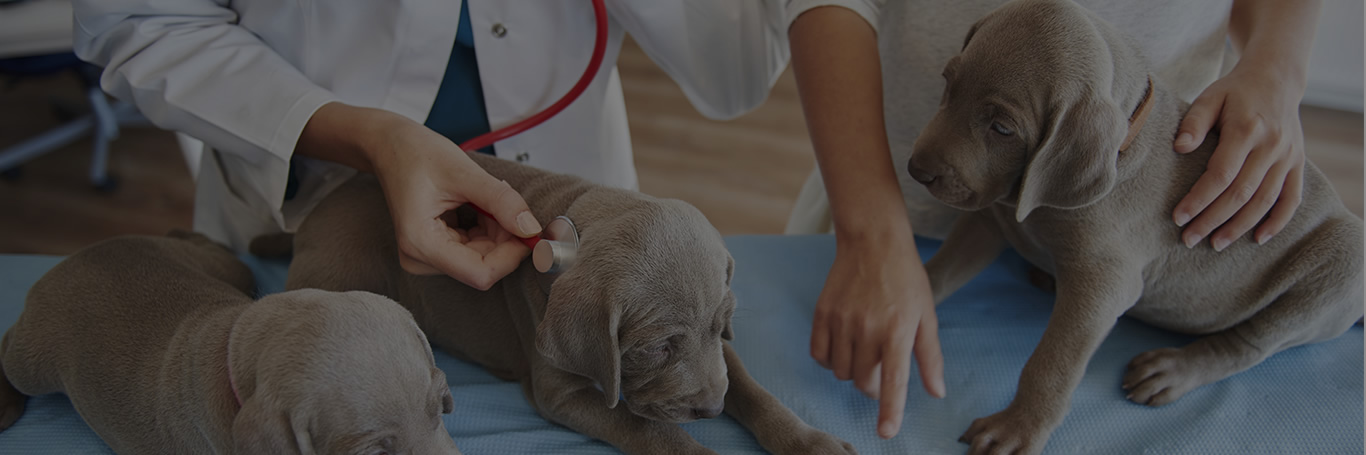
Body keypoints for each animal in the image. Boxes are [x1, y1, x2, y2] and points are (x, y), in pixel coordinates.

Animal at [0, 232, 458, 453]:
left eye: (439, 409)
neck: (235, 339)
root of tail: (82, 253)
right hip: (33, 360)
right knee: (7, 348)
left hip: (224, 267)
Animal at [280, 153, 852, 453]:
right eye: (658, 348)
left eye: (723, 325)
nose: (710, 409)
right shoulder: (560, 393)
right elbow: (648, 428)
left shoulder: (722, 355)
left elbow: (752, 389)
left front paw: (810, 442)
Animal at [907, 0, 1366, 453]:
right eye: (948, 83)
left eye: (1002, 128)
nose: (916, 171)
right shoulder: (990, 221)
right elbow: (937, 273)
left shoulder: (1103, 285)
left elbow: (1053, 362)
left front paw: (1018, 427)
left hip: (1340, 264)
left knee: (1251, 343)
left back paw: (1172, 370)